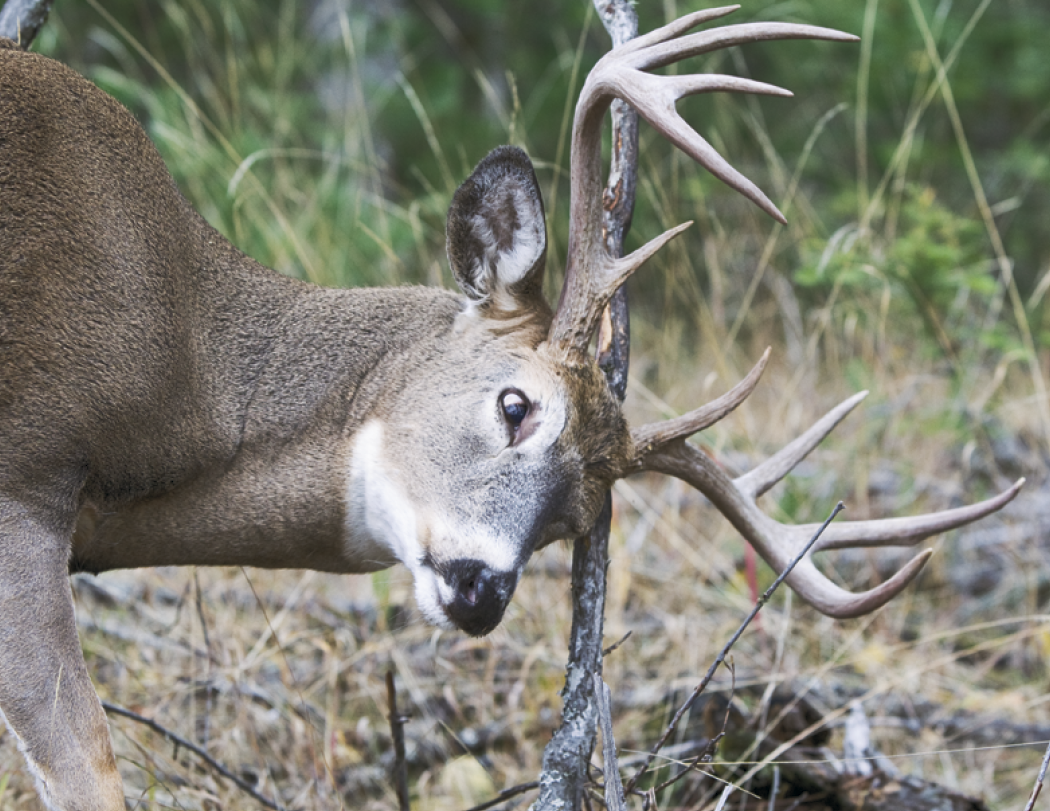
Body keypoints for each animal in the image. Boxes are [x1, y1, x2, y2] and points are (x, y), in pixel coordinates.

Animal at [0, 5, 1022, 810]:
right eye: (515, 405)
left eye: (576, 516)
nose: (482, 588)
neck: (191, 381)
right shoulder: (27, 474)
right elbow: (89, 769)